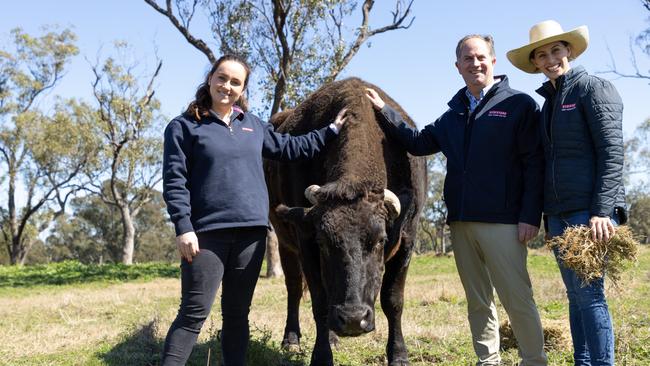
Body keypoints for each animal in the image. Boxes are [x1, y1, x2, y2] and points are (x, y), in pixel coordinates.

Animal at [264, 78, 426, 366]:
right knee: (294, 287)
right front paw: (320, 355)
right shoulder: (305, 240)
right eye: (323, 242)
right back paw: (292, 338)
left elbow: (393, 300)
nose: (353, 319)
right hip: (283, 242)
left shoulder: (407, 238)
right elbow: (319, 301)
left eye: (380, 241)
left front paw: (398, 354)